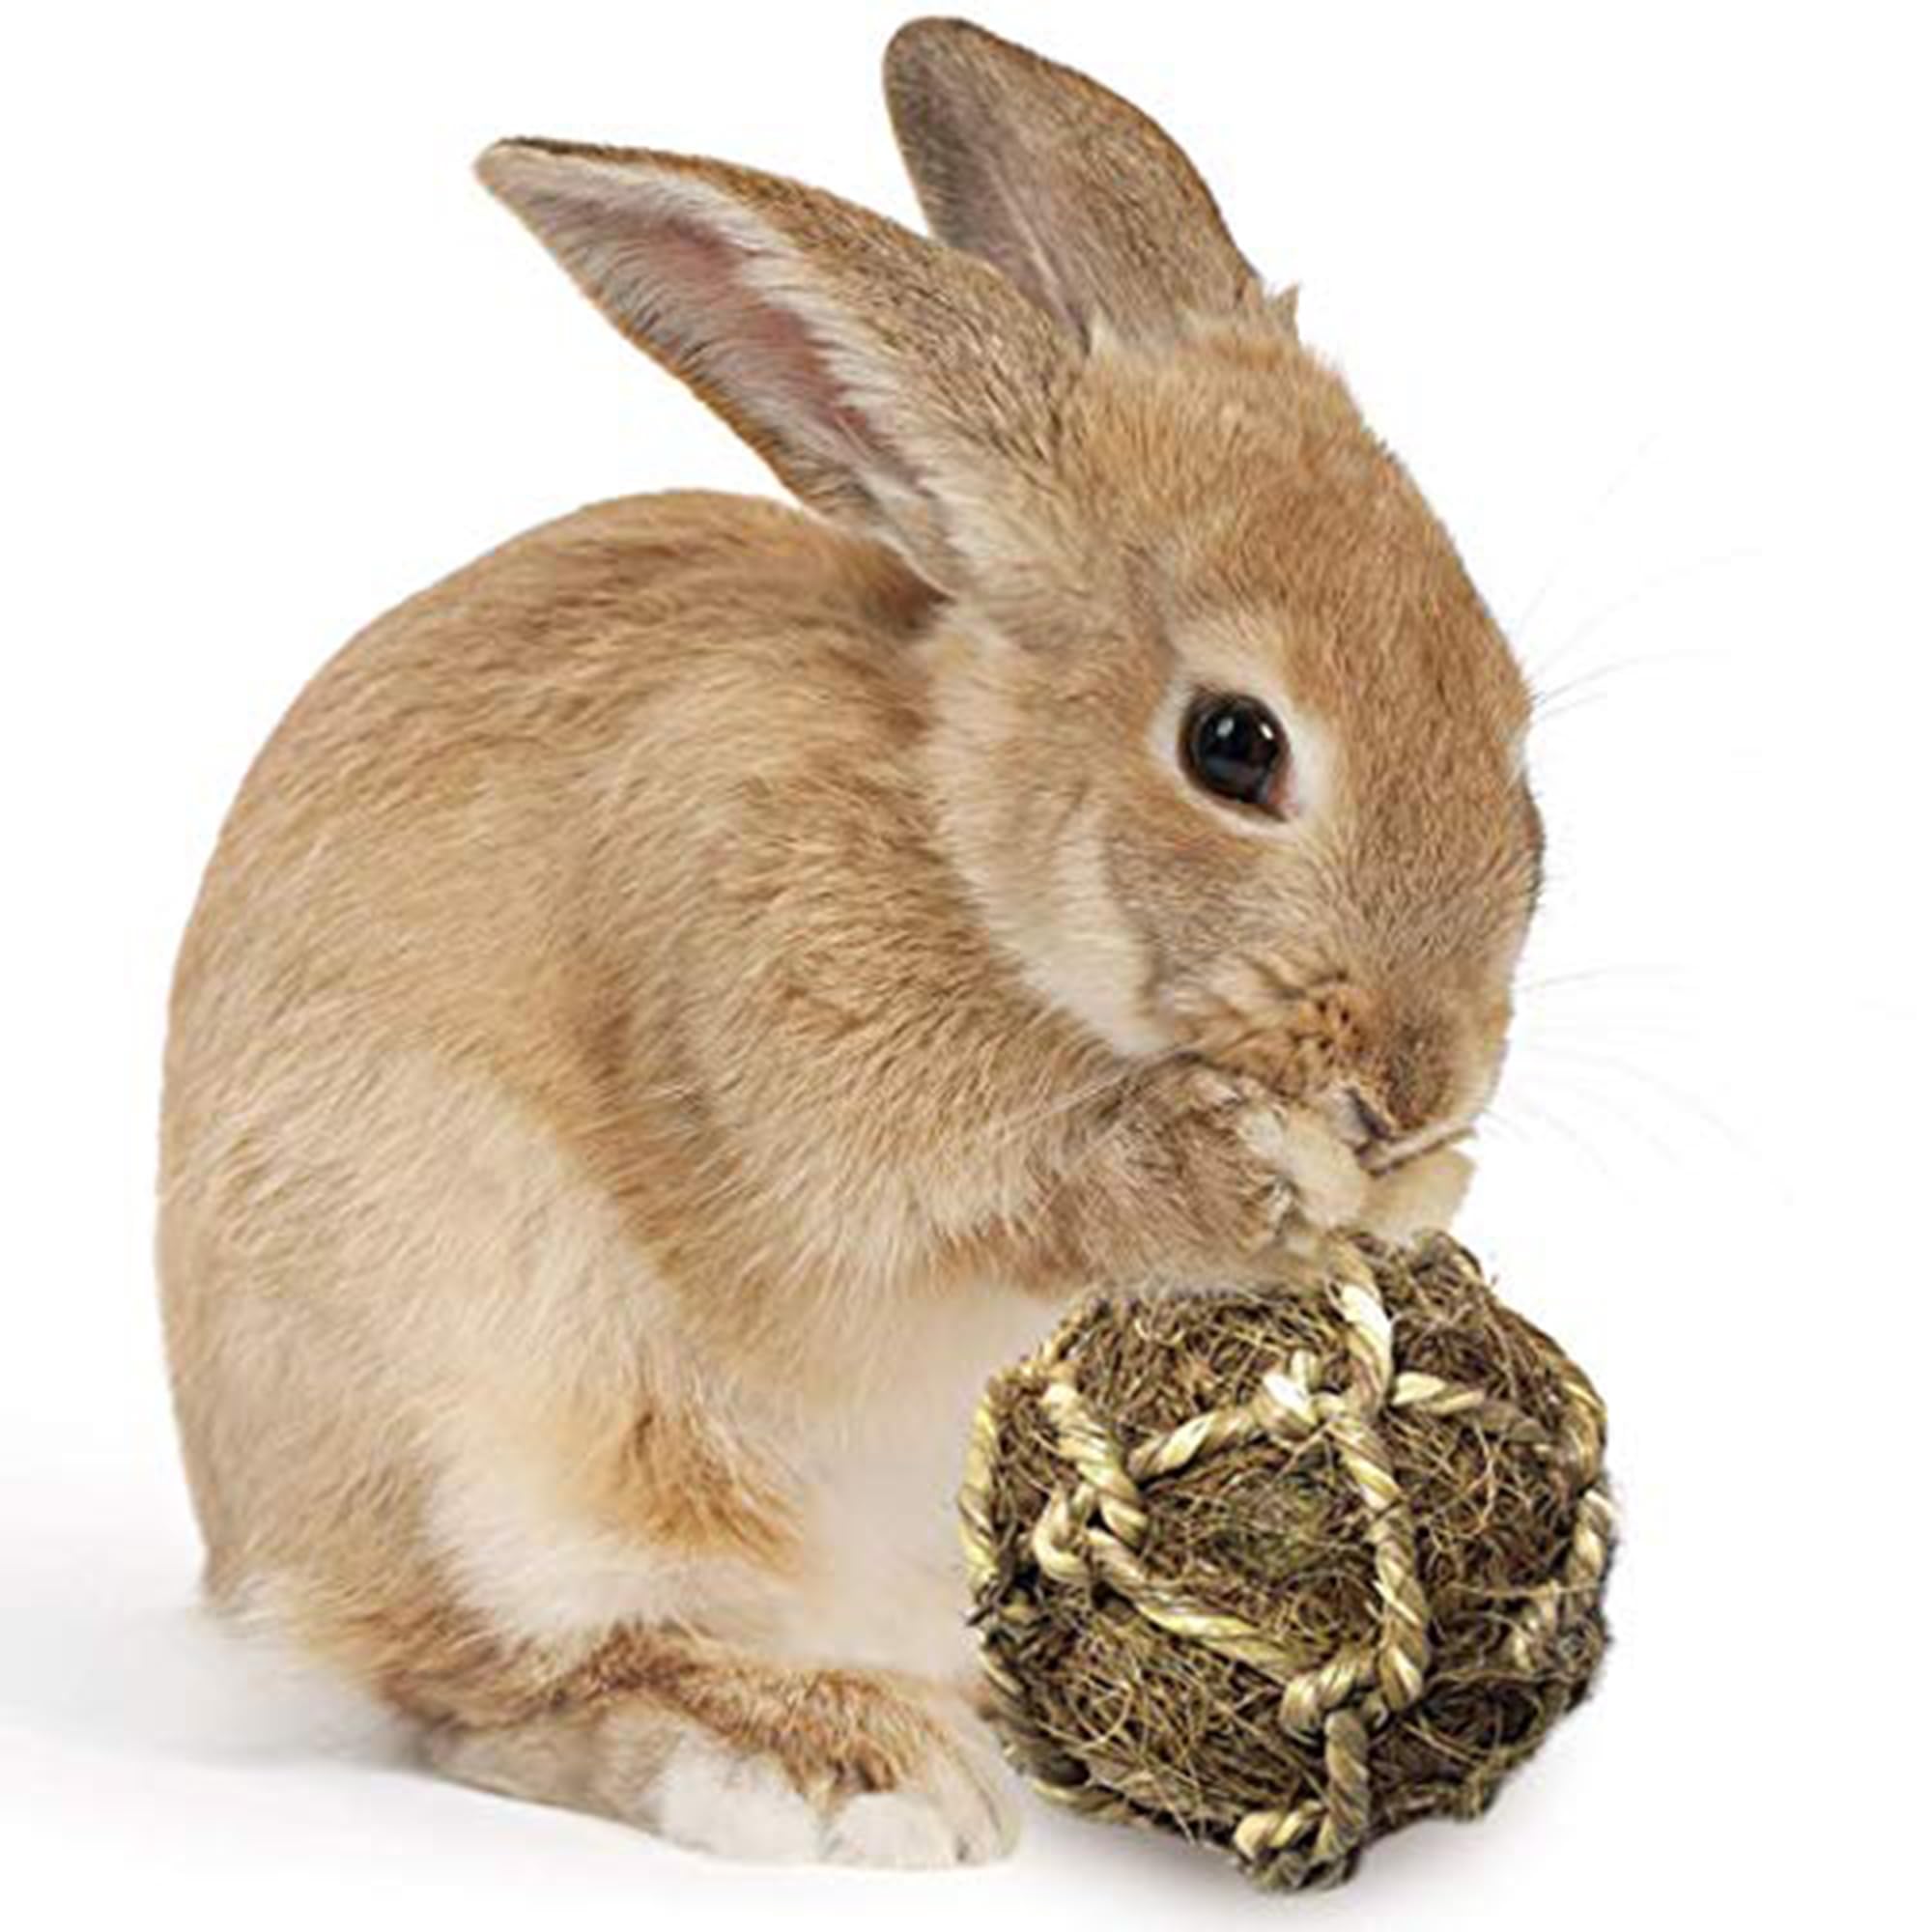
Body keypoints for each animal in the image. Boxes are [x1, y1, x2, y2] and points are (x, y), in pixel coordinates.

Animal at [157, 16, 1543, 1869]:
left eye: (1511, 716)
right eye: (1234, 746)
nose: (1419, 1082)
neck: (966, 850)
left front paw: (1408, 1194)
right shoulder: (791, 1055)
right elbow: (982, 1193)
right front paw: (1251, 1174)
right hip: (485, 1411)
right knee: (496, 1688)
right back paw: (836, 1762)